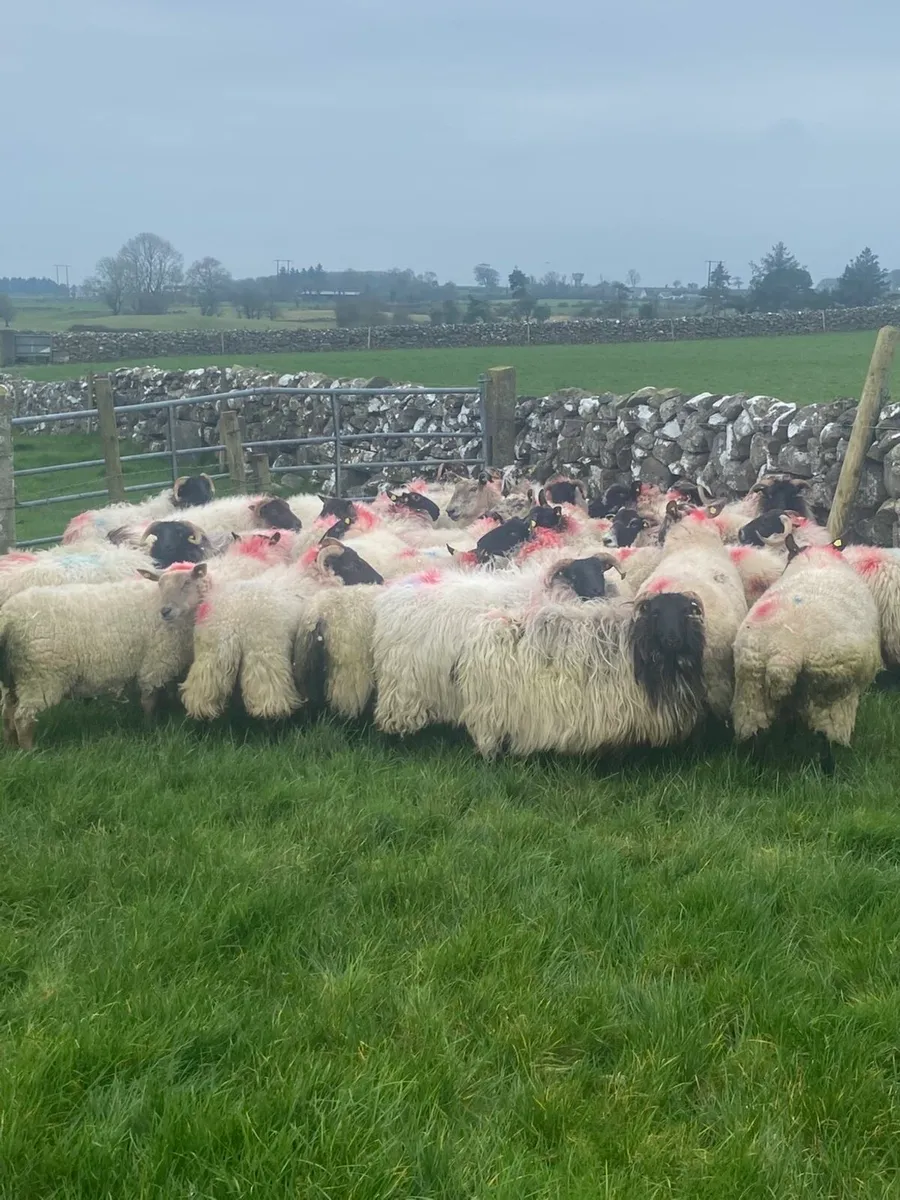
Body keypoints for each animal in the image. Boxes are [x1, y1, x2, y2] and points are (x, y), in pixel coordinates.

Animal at [0, 562, 209, 750]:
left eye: (187, 583)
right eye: (160, 584)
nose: (166, 611)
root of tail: (8, 617)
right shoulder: (154, 663)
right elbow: (149, 701)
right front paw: (150, 727)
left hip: (14, 678)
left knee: (7, 713)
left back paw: (12, 747)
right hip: (40, 677)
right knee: (22, 718)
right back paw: (30, 752)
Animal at [732, 542, 881, 758]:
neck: (818, 559)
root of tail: (785, 652)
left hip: (751, 693)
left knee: (754, 736)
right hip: (832, 696)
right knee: (827, 743)